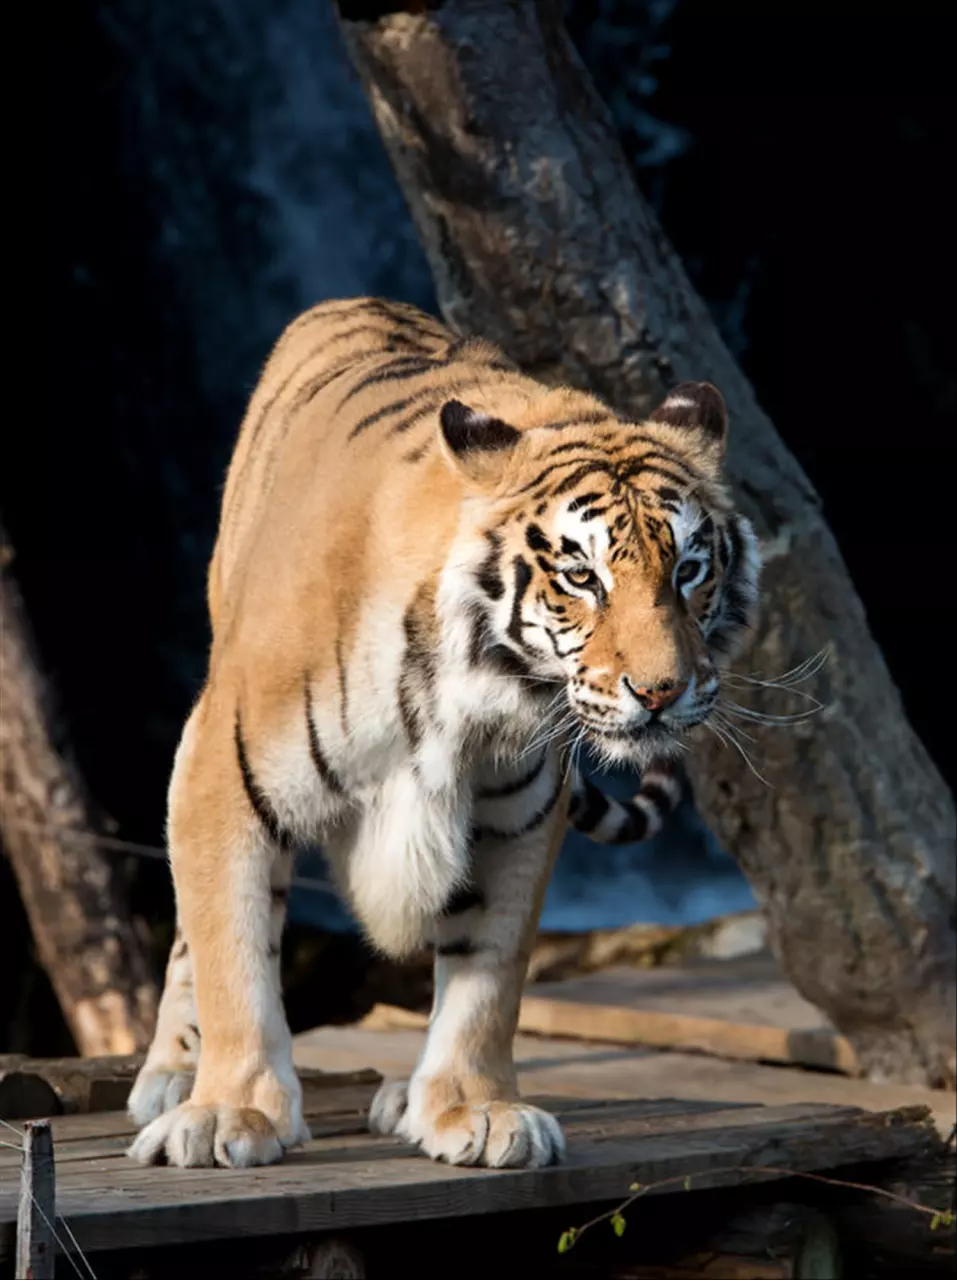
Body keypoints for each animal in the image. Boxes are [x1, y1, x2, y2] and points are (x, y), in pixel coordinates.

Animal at [125, 296, 757, 1172]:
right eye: (581, 577)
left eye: (688, 571)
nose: (661, 692)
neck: (476, 693)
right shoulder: (227, 770)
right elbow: (233, 950)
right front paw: (230, 1112)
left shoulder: (516, 815)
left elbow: (486, 974)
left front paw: (473, 1109)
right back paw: (171, 1075)